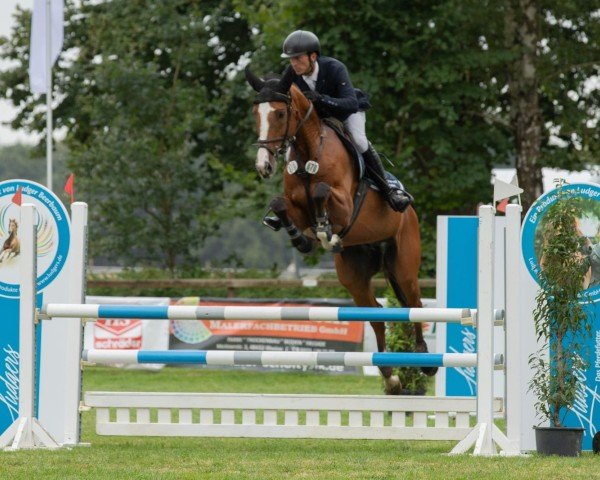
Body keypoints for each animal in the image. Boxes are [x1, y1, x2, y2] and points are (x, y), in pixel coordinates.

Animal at [244, 65, 436, 392]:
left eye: (280, 113)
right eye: (256, 112)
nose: (264, 166)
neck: (309, 150)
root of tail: (409, 212)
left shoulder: (346, 208)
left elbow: (321, 191)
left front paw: (324, 229)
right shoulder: (296, 209)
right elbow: (279, 204)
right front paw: (303, 240)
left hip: (404, 264)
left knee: (414, 304)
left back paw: (425, 361)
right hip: (353, 274)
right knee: (376, 314)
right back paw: (391, 377)